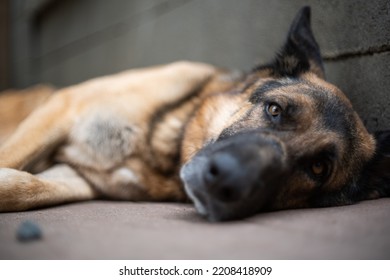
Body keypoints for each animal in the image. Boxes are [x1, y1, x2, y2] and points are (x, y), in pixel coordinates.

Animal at [0, 7, 388, 221]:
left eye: (318, 167)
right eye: (275, 110)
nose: (226, 181)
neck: (163, 145)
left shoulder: (79, 177)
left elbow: (26, 187)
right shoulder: (61, 111)